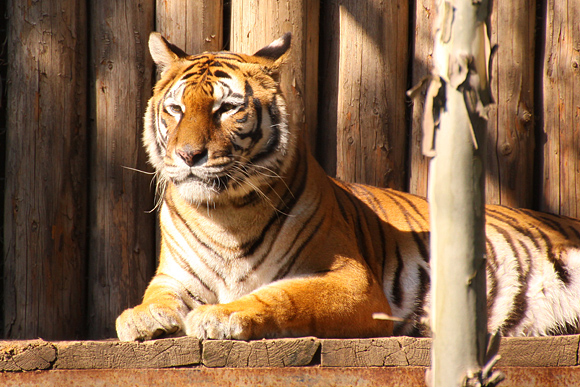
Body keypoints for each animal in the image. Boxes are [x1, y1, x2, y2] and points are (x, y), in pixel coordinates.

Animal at [115, 33, 580, 342]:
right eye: (176, 109)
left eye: (226, 108)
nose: (188, 155)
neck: (224, 214)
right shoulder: (173, 276)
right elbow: (156, 297)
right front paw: (139, 317)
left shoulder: (351, 279)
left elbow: (280, 296)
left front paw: (218, 315)